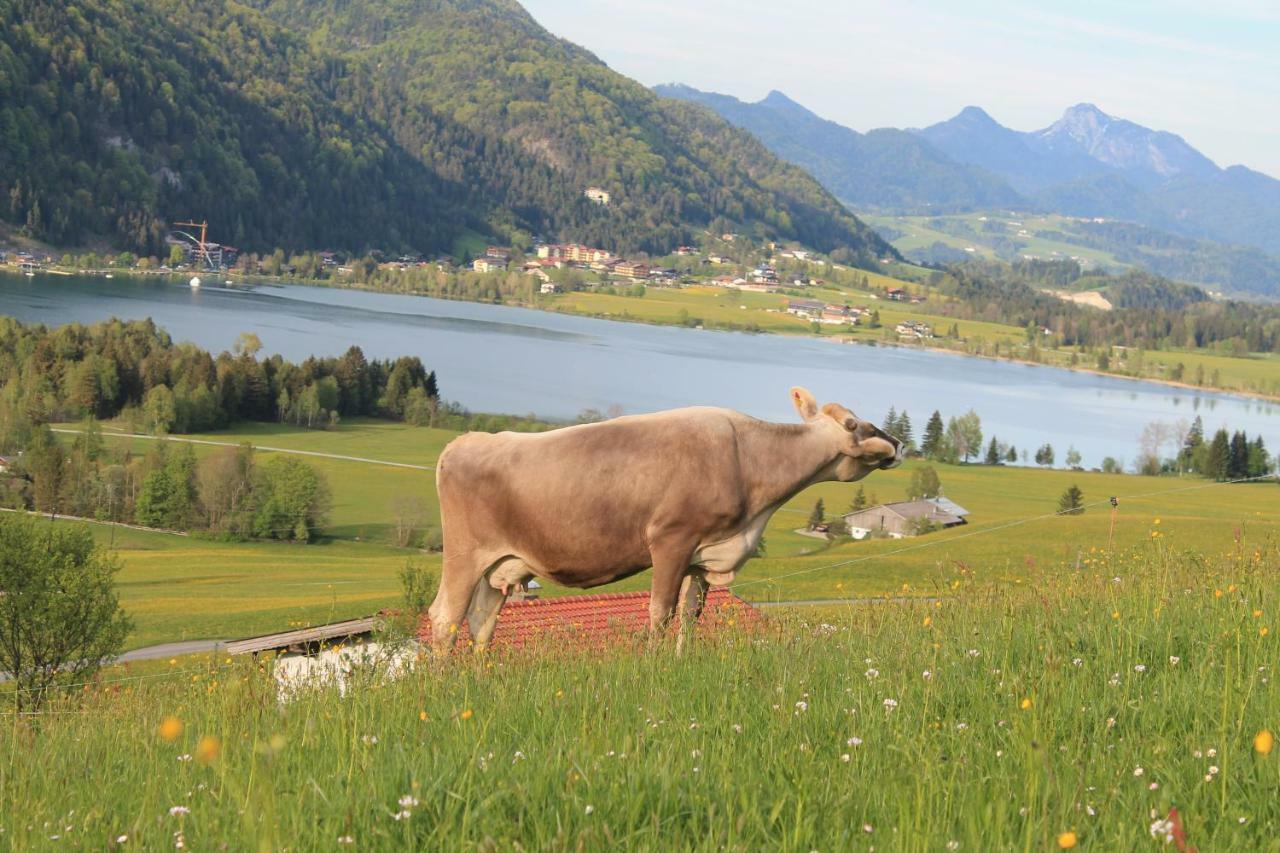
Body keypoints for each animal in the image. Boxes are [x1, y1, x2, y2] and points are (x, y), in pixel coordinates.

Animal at [427, 386, 901, 650]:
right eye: (853, 424)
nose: (897, 443)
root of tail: (465, 441)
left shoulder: (703, 557)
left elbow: (690, 618)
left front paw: (680, 662)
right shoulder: (671, 540)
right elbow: (660, 613)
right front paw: (656, 669)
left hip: (501, 565)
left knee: (481, 623)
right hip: (465, 553)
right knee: (445, 618)